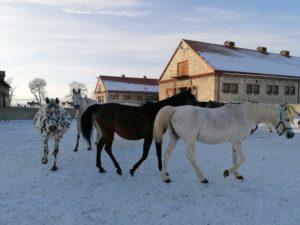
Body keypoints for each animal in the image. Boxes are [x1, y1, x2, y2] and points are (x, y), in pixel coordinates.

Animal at [154, 102, 294, 185]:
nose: (292, 135)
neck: (245, 115)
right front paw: (227, 172)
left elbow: (235, 158)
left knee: (166, 155)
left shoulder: (233, 142)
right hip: (190, 141)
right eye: (287, 119)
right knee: (190, 157)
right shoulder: (237, 141)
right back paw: (202, 178)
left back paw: (165, 177)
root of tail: (175, 109)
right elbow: (242, 159)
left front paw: (236, 174)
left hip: (175, 138)